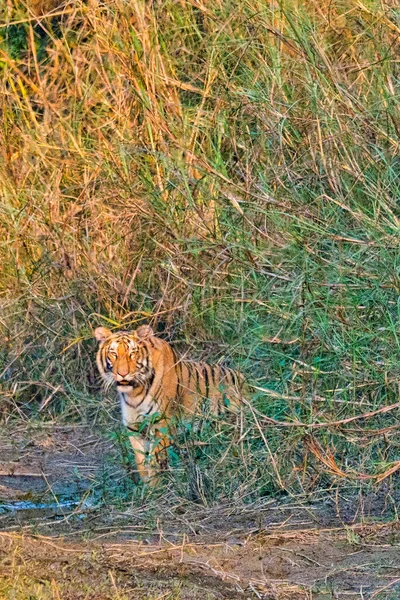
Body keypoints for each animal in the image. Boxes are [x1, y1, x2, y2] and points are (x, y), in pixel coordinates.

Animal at [94, 324, 244, 482]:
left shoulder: (161, 424)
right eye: (113, 353)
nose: (122, 374)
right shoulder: (134, 428)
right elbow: (141, 463)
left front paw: (157, 484)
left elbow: (155, 461)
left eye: (133, 353)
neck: (134, 393)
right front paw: (146, 486)